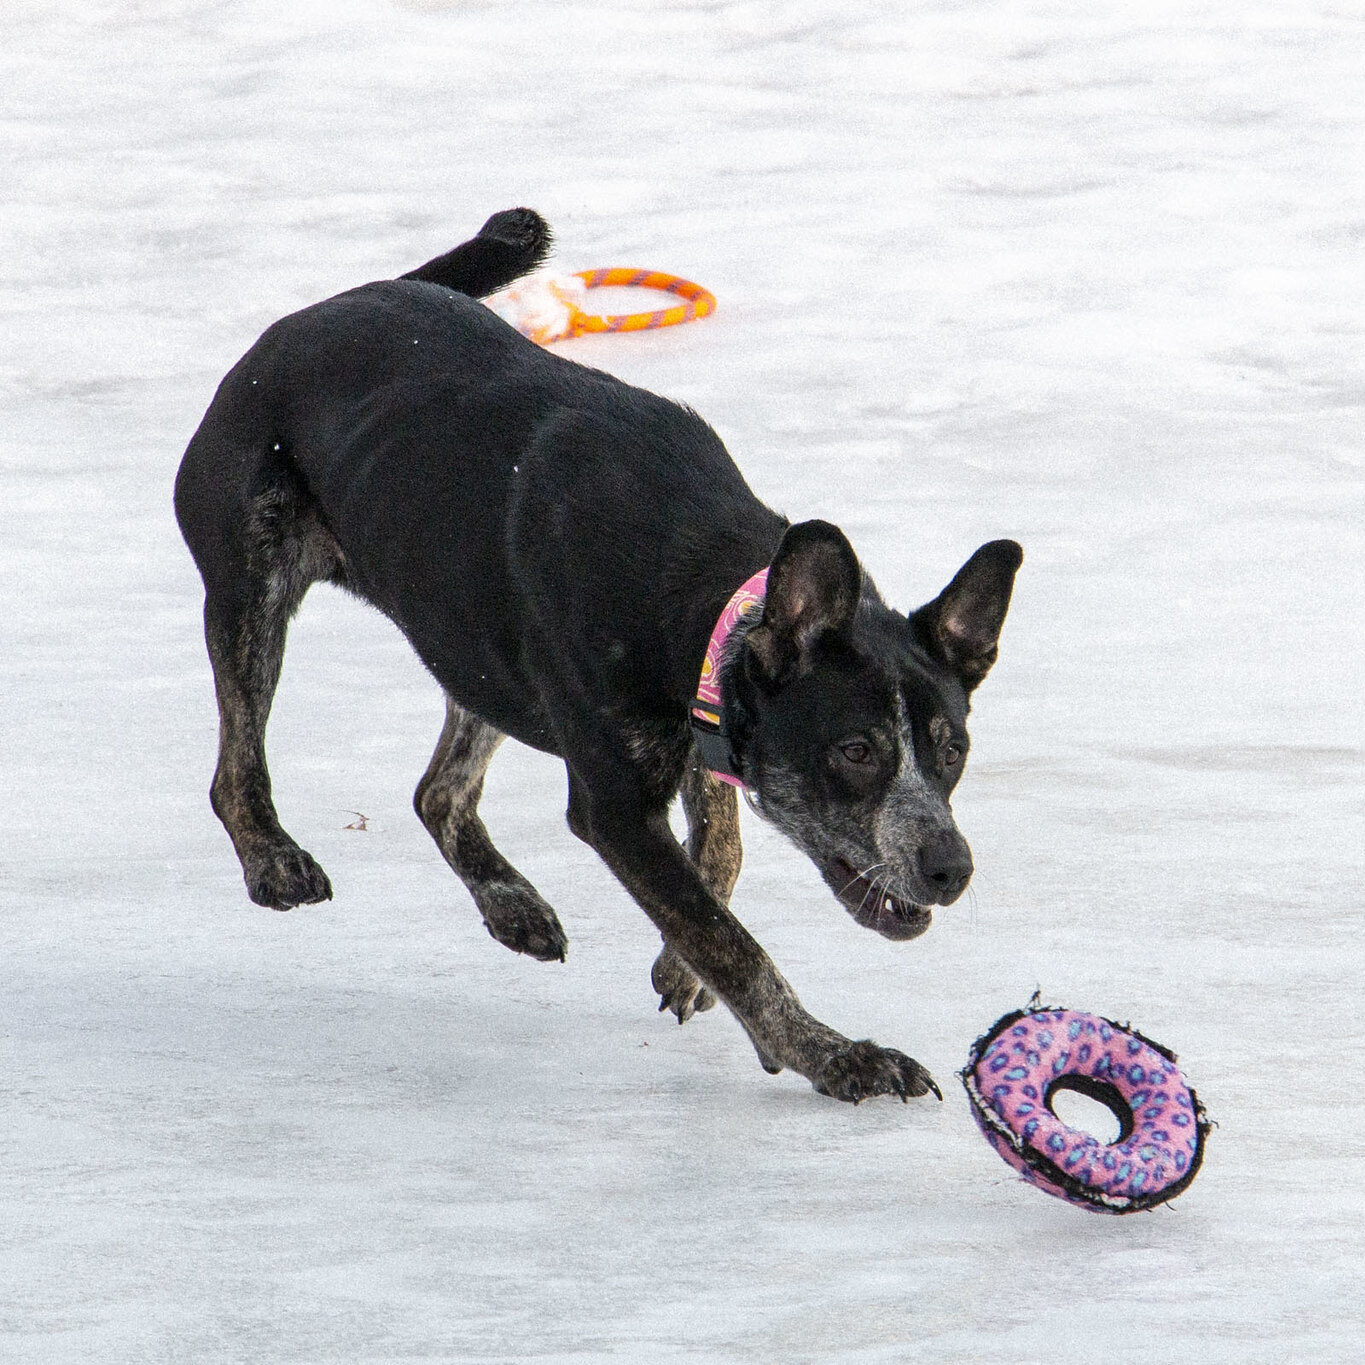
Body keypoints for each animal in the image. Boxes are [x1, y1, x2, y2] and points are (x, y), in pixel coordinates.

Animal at [170, 212, 1021, 1108]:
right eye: (855, 750)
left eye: (952, 749)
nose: (951, 868)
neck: (695, 583)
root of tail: (313, 313)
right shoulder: (616, 805)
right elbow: (733, 943)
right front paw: (836, 1055)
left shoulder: (698, 723)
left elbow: (717, 860)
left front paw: (682, 971)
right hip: (250, 586)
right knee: (236, 767)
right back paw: (273, 857)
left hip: (474, 650)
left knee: (437, 792)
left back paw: (509, 900)